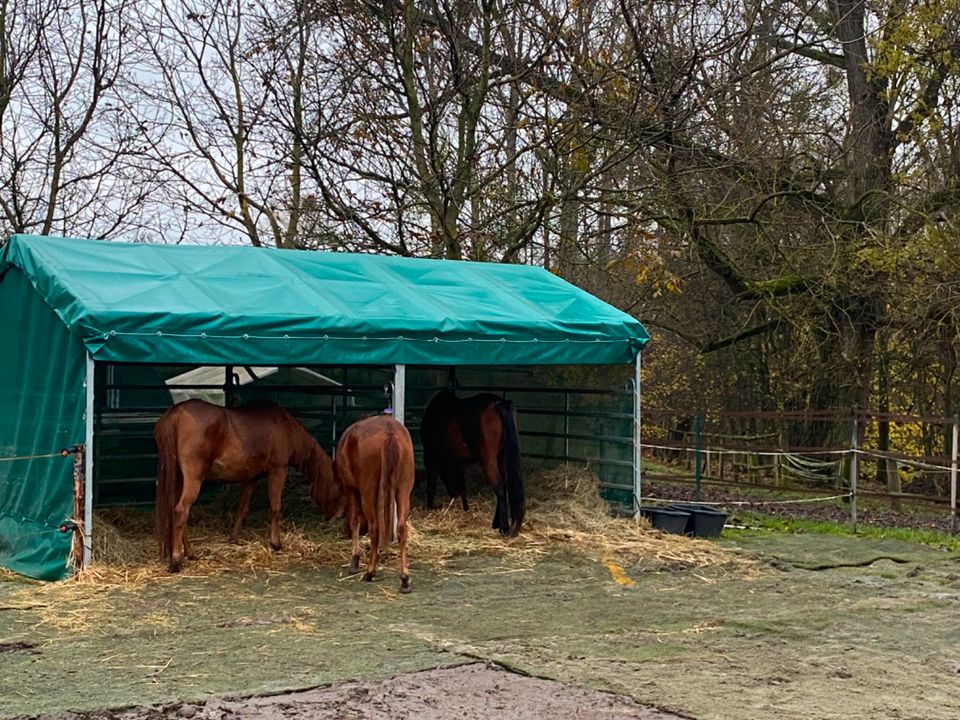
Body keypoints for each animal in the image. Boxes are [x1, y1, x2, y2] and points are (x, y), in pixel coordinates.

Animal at [154, 396, 338, 572]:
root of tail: (177, 412)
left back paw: (190, 553)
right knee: (181, 511)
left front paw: (234, 538)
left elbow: (242, 509)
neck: (285, 426)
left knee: (176, 511)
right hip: (193, 479)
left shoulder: (250, 479)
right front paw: (276, 543)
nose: (332, 517)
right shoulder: (278, 471)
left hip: (179, 479)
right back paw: (176, 560)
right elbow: (275, 508)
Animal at [332, 414, 414, 592]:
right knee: (402, 529)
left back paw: (370, 572)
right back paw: (404, 579)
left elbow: (355, 520)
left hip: (367, 492)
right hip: (404, 489)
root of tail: (389, 431)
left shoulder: (352, 490)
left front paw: (355, 560)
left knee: (374, 528)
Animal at [420, 388, 524, 536]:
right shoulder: (459, 462)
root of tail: (500, 404)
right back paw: (497, 523)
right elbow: (462, 486)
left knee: (499, 487)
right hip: (501, 459)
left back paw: (503, 527)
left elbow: (432, 482)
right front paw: (465, 508)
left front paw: (430, 505)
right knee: (504, 485)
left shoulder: (430, 455)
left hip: (488, 461)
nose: (453, 495)